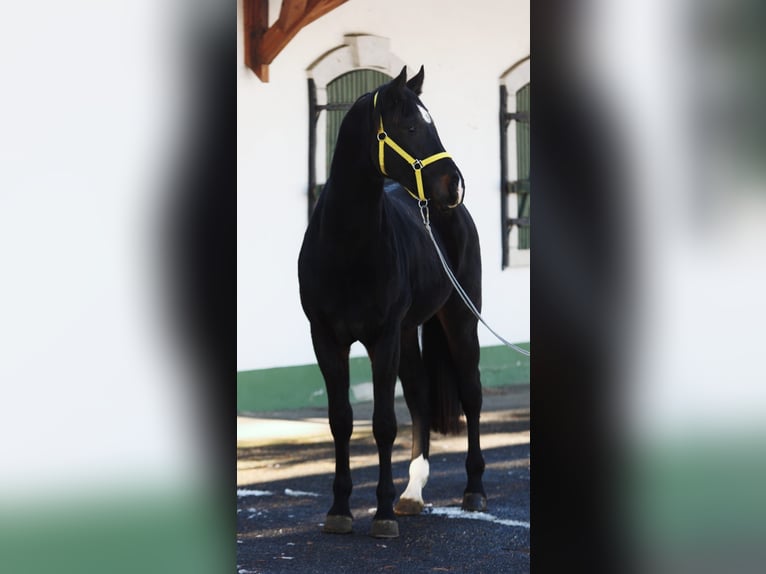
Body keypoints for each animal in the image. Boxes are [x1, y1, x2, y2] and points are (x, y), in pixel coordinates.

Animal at [300, 67, 486, 540]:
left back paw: (473, 490)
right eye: (411, 127)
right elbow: (341, 420)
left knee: (472, 396)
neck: (346, 248)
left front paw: (381, 514)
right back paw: (412, 494)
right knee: (420, 396)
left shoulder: (381, 337)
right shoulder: (326, 339)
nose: (455, 184)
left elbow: (384, 424)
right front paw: (340, 510)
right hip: (407, 332)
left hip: (460, 320)